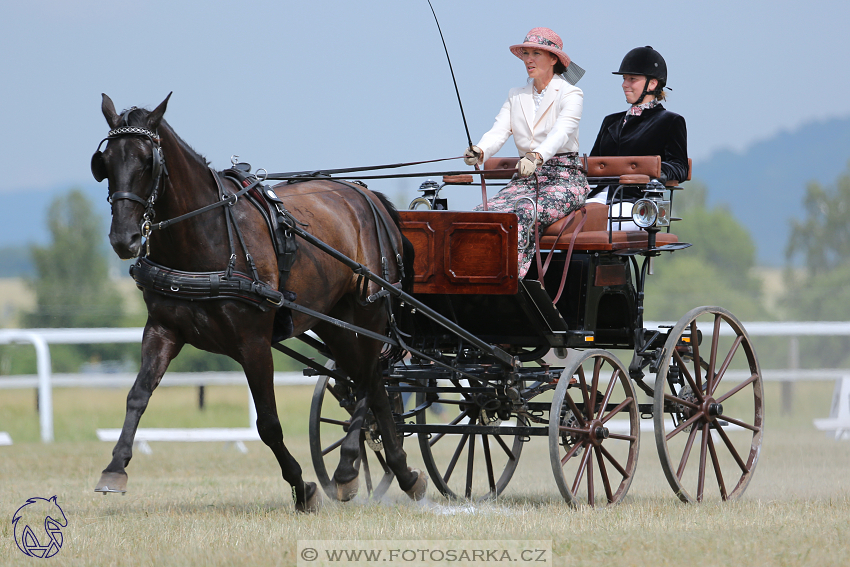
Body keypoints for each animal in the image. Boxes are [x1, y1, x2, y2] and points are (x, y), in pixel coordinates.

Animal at [92, 95, 424, 512]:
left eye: (146, 160)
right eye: (105, 163)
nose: (124, 238)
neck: (207, 235)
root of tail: (368, 196)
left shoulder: (253, 342)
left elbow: (268, 423)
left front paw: (302, 487)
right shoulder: (163, 329)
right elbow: (137, 396)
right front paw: (114, 468)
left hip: (369, 311)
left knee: (365, 380)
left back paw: (348, 469)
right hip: (335, 321)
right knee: (373, 380)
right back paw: (403, 473)